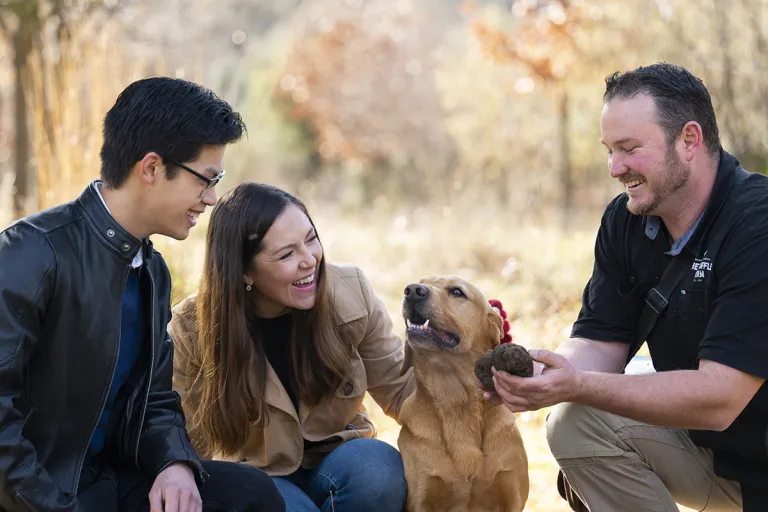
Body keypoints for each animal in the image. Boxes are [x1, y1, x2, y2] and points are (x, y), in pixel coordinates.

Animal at [396, 276, 528, 512]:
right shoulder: (423, 496)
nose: (412, 291)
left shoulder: (511, 494)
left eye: (457, 292)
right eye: (420, 282)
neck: (456, 398)